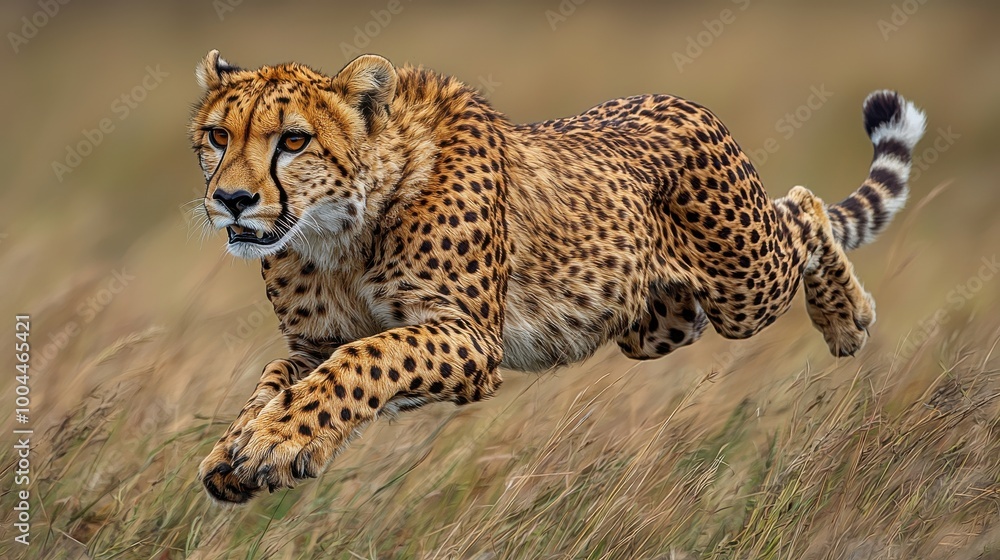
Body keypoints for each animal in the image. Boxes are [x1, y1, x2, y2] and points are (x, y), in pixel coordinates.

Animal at [189, 50, 926, 503]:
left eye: (293, 140)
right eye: (218, 136)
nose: (231, 200)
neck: (341, 230)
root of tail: (679, 99)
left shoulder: (470, 338)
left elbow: (366, 360)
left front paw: (275, 441)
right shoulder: (313, 343)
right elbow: (283, 380)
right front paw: (243, 446)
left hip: (745, 284)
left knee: (802, 210)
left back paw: (846, 318)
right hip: (655, 323)